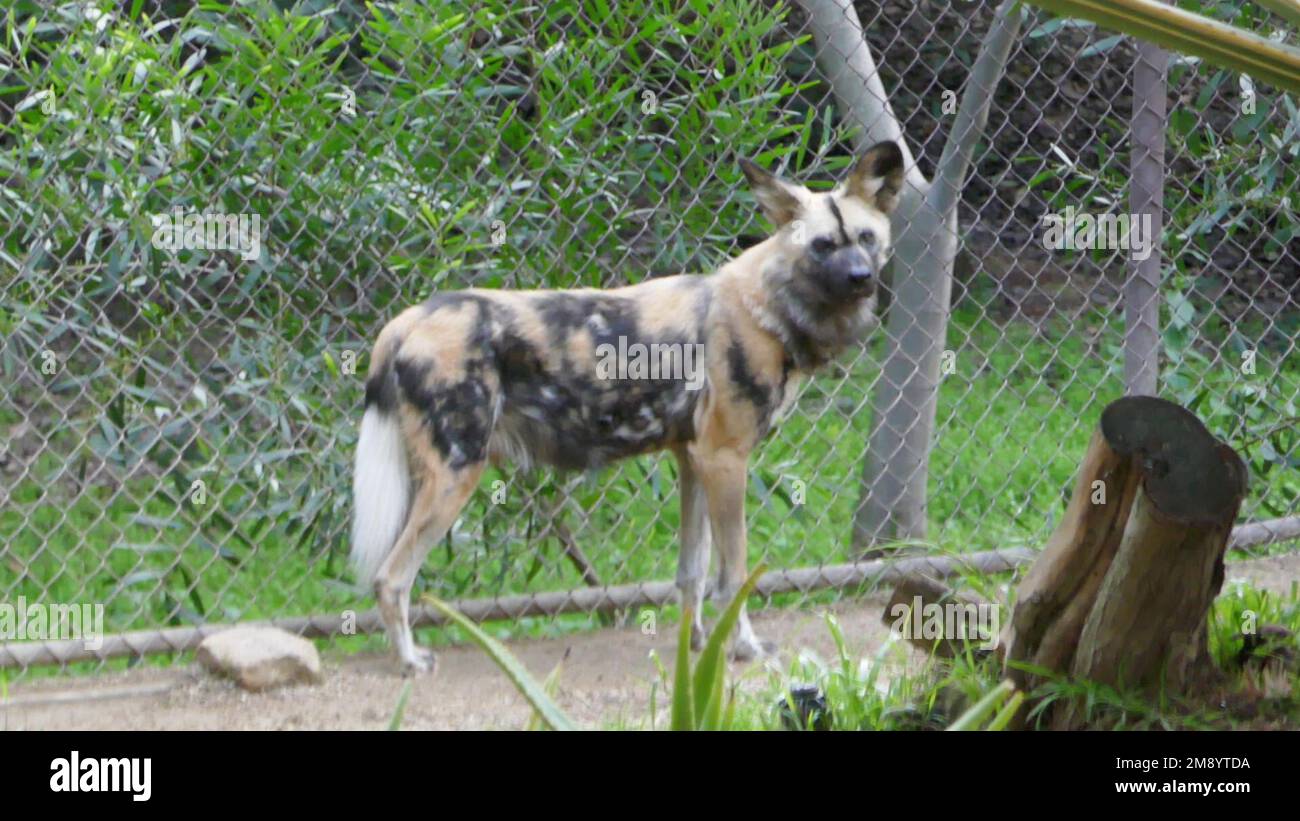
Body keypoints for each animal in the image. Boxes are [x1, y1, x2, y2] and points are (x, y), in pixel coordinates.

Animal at [351, 140, 909, 675]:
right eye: (822, 246)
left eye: (866, 238)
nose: (861, 277)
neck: (766, 306)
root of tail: (406, 320)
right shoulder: (726, 460)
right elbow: (733, 577)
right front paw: (743, 648)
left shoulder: (695, 460)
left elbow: (693, 572)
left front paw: (696, 647)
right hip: (456, 474)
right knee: (390, 577)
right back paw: (409, 662)